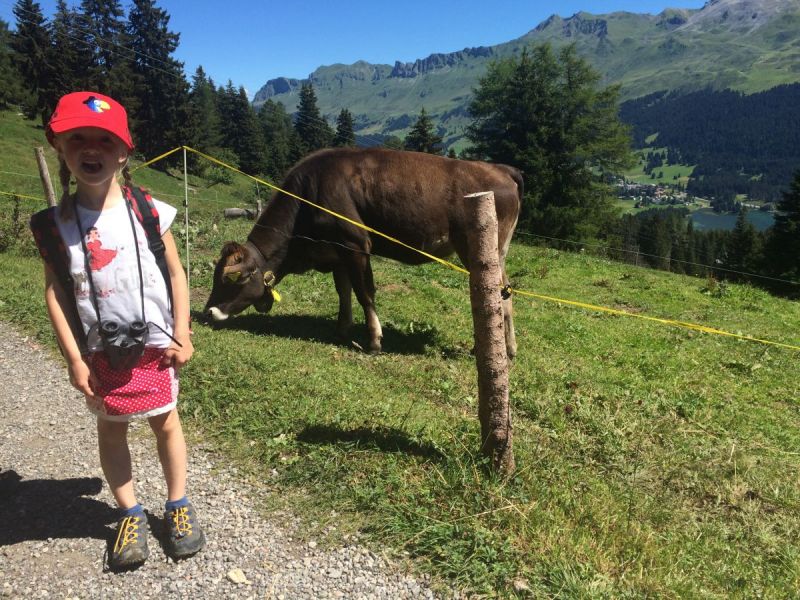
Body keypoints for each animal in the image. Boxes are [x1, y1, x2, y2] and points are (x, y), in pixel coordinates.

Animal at [203, 147, 520, 356]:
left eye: (235, 278)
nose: (209, 312)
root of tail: (502, 169)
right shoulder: (337, 253)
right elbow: (343, 291)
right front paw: (342, 329)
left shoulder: (356, 245)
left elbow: (364, 292)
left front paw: (374, 340)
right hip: (497, 252)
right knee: (505, 293)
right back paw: (508, 349)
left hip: (476, 247)